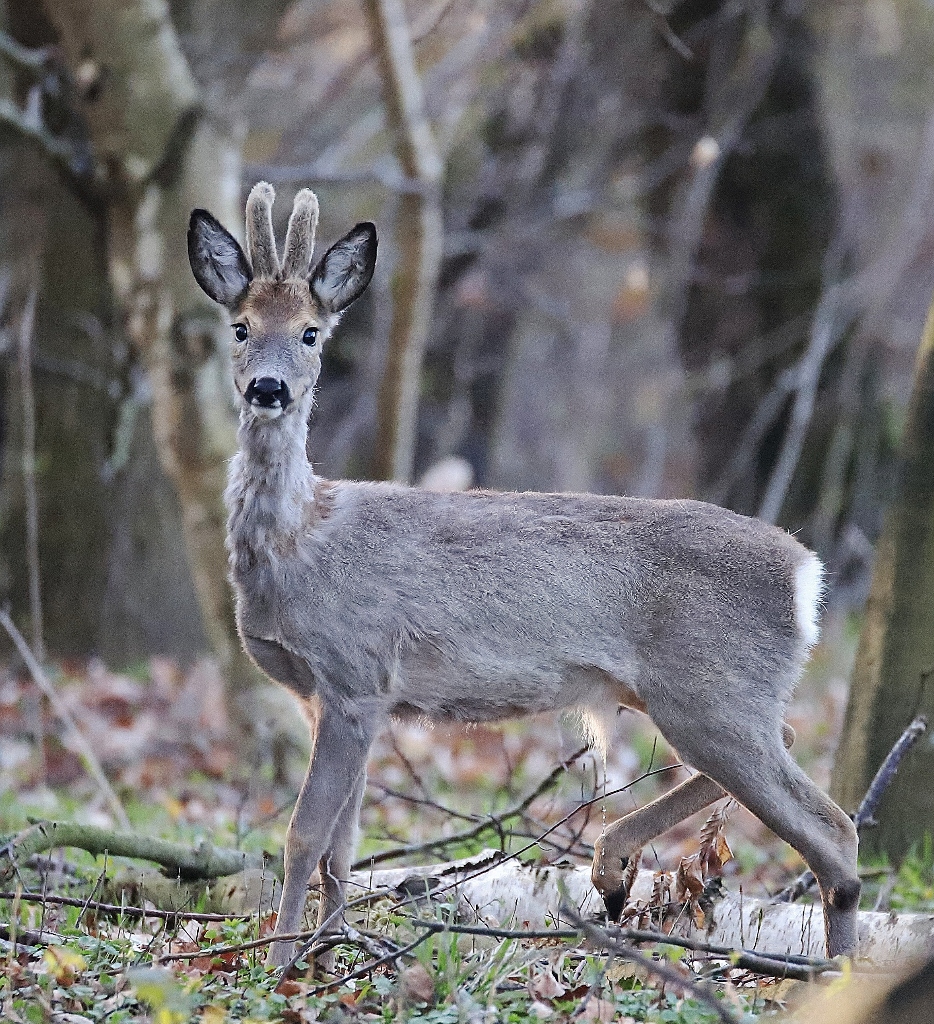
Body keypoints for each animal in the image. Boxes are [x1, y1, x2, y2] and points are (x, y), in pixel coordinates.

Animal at [187, 182, 860, 966]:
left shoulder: (354, 673)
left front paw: (282, 963)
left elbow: (301, 836)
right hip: (708, 696)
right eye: (240, 327)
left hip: (712, 690)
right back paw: (614, 864)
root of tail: (805, 573)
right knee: (795, 761)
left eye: (310, 333)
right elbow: (341, 847)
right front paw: (327, 953)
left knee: (833, 826)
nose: (267, 389)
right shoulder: (340, 698)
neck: (299, 542)